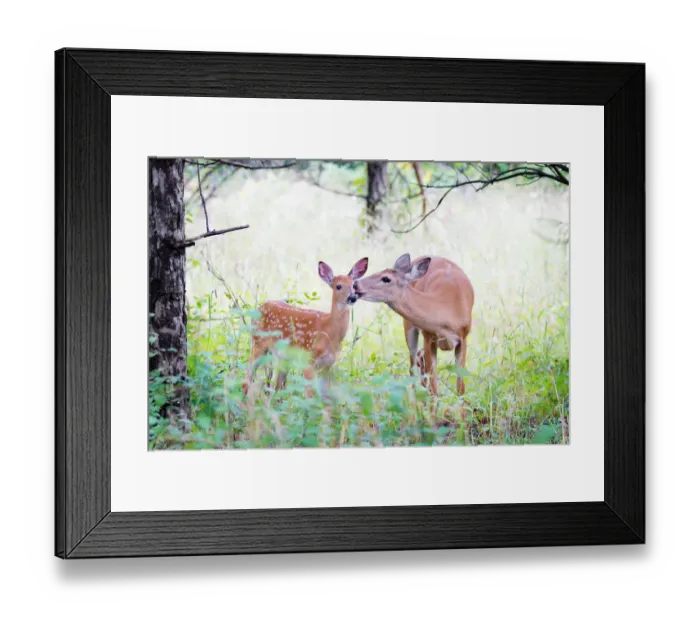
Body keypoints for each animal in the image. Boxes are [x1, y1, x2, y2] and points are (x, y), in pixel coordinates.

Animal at [241, 257, 368, 399]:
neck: (329, 331)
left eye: (353, 285)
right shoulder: (309, 360)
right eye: (338, 286)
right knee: (247, 379)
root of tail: (259, 307)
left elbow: (326, 397)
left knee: (277, 387)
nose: (352, 297)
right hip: (258, 342)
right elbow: (309, 395)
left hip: (284, 357)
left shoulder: (328, 365)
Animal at [351, 253, 474, 397]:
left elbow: (460, 387)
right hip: (408, 325)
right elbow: (433, 386)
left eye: (386, 278)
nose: (355, 284)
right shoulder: (428, 337)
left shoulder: (463, 338)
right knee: (413, 367)